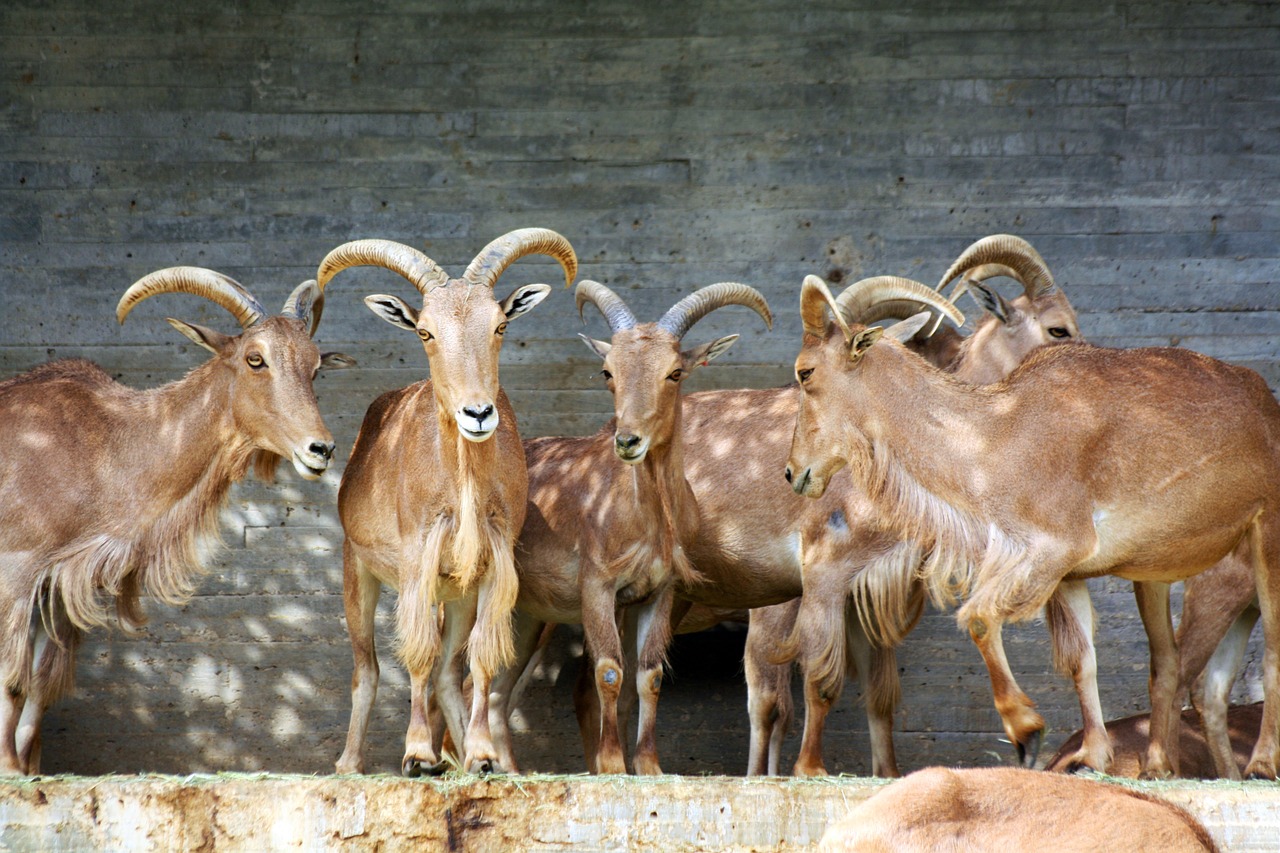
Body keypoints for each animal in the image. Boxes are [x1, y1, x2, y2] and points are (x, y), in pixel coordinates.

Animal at [0, 268, 350, 773]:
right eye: (255, 359)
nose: (320, 449)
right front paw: (10, 771)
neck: (104, 447)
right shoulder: (18, 569)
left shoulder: (60, 585)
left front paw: (30, 771)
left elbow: (41, 684)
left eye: (315, 367)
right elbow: (13, 679)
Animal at [322, 229, 578, 773]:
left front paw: (480, 754)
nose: (477, 412)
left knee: (445, 670)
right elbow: (415, 653)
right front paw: (417, 754)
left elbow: (479, 658)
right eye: (425, 332)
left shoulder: (490, 568)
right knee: (367, 669)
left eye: (500, 324)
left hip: (455, 593)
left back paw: (465, 760)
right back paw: (351, 762)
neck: (462, 488)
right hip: (358, 569)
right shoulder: (417, 561)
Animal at [486, 279, 768, 768]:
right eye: (608, 371)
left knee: (494, 691)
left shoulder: (659, 591)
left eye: (675, 372)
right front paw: (611, 764)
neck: (647, 519)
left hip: (527, 616)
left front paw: (650, 766)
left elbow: (649, 676)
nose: (628, 440)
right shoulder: (597, 587)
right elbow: (609, 672)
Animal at [783, 272, 1280, 778]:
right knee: (1168, 662)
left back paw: (1261, 762)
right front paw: (1092, 756)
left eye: (805, 372)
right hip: (1153, 573)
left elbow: (979, 618)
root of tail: (1264, 399)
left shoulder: (1054, 549)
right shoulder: (1068, 575)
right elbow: (1082, 659)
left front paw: (1027, 732)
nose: (794, 472)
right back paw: (1159, 766)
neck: (995, 436)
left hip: (1267, 530)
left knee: (1271, 651)